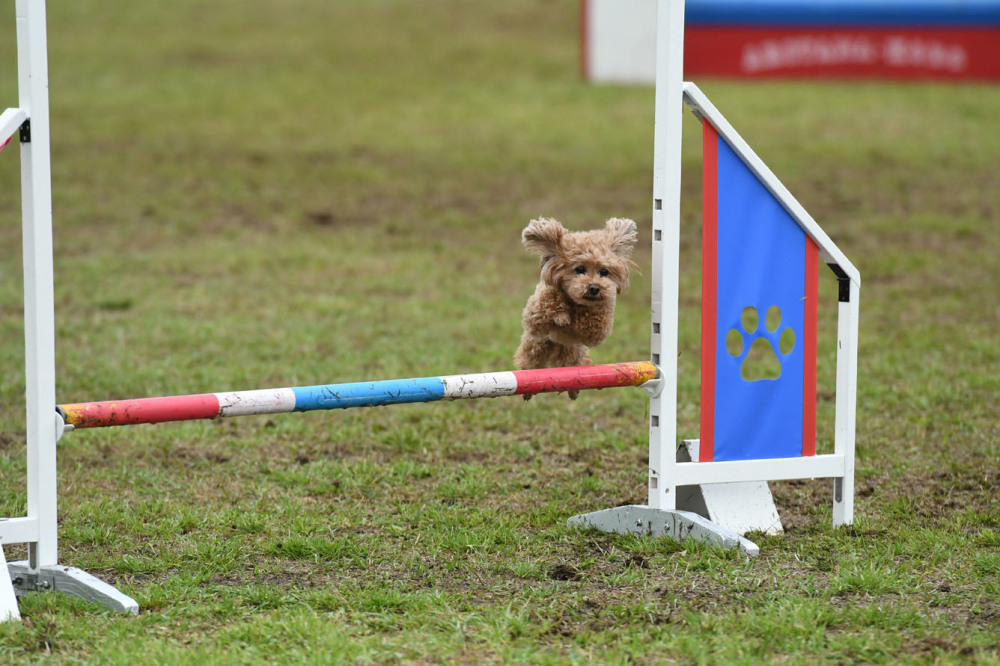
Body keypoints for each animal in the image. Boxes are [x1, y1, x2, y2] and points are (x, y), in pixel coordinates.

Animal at [516, 215, 640, 396]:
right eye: (580, 269)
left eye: (604, 272)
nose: (594, 288)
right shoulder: (535, 314)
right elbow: (549, 304)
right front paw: (561, 316)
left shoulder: (599, 327)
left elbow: (590, 320)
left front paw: (571, 317)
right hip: (535, 349)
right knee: (529, 365)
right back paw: (527, 392)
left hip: (576, 357)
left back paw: (574, 391)